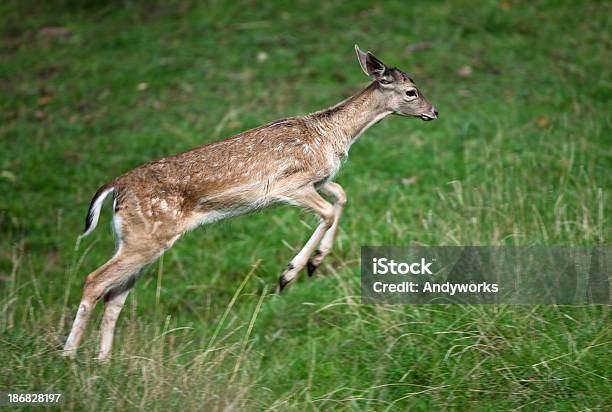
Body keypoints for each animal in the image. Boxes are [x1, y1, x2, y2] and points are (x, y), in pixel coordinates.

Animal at [62, 45, 438, 358]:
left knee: (114, 296)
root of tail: (115, 188)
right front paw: (290, 274)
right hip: (144, 238)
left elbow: (341, 196)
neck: (334, 134)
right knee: (95, 280)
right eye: (411, 91)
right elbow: (329, 211)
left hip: (137, 241)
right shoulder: (287, 185)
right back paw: (69, 356)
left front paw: (314, 263)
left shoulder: (319, 180)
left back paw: (103, 362)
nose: (434, 111)